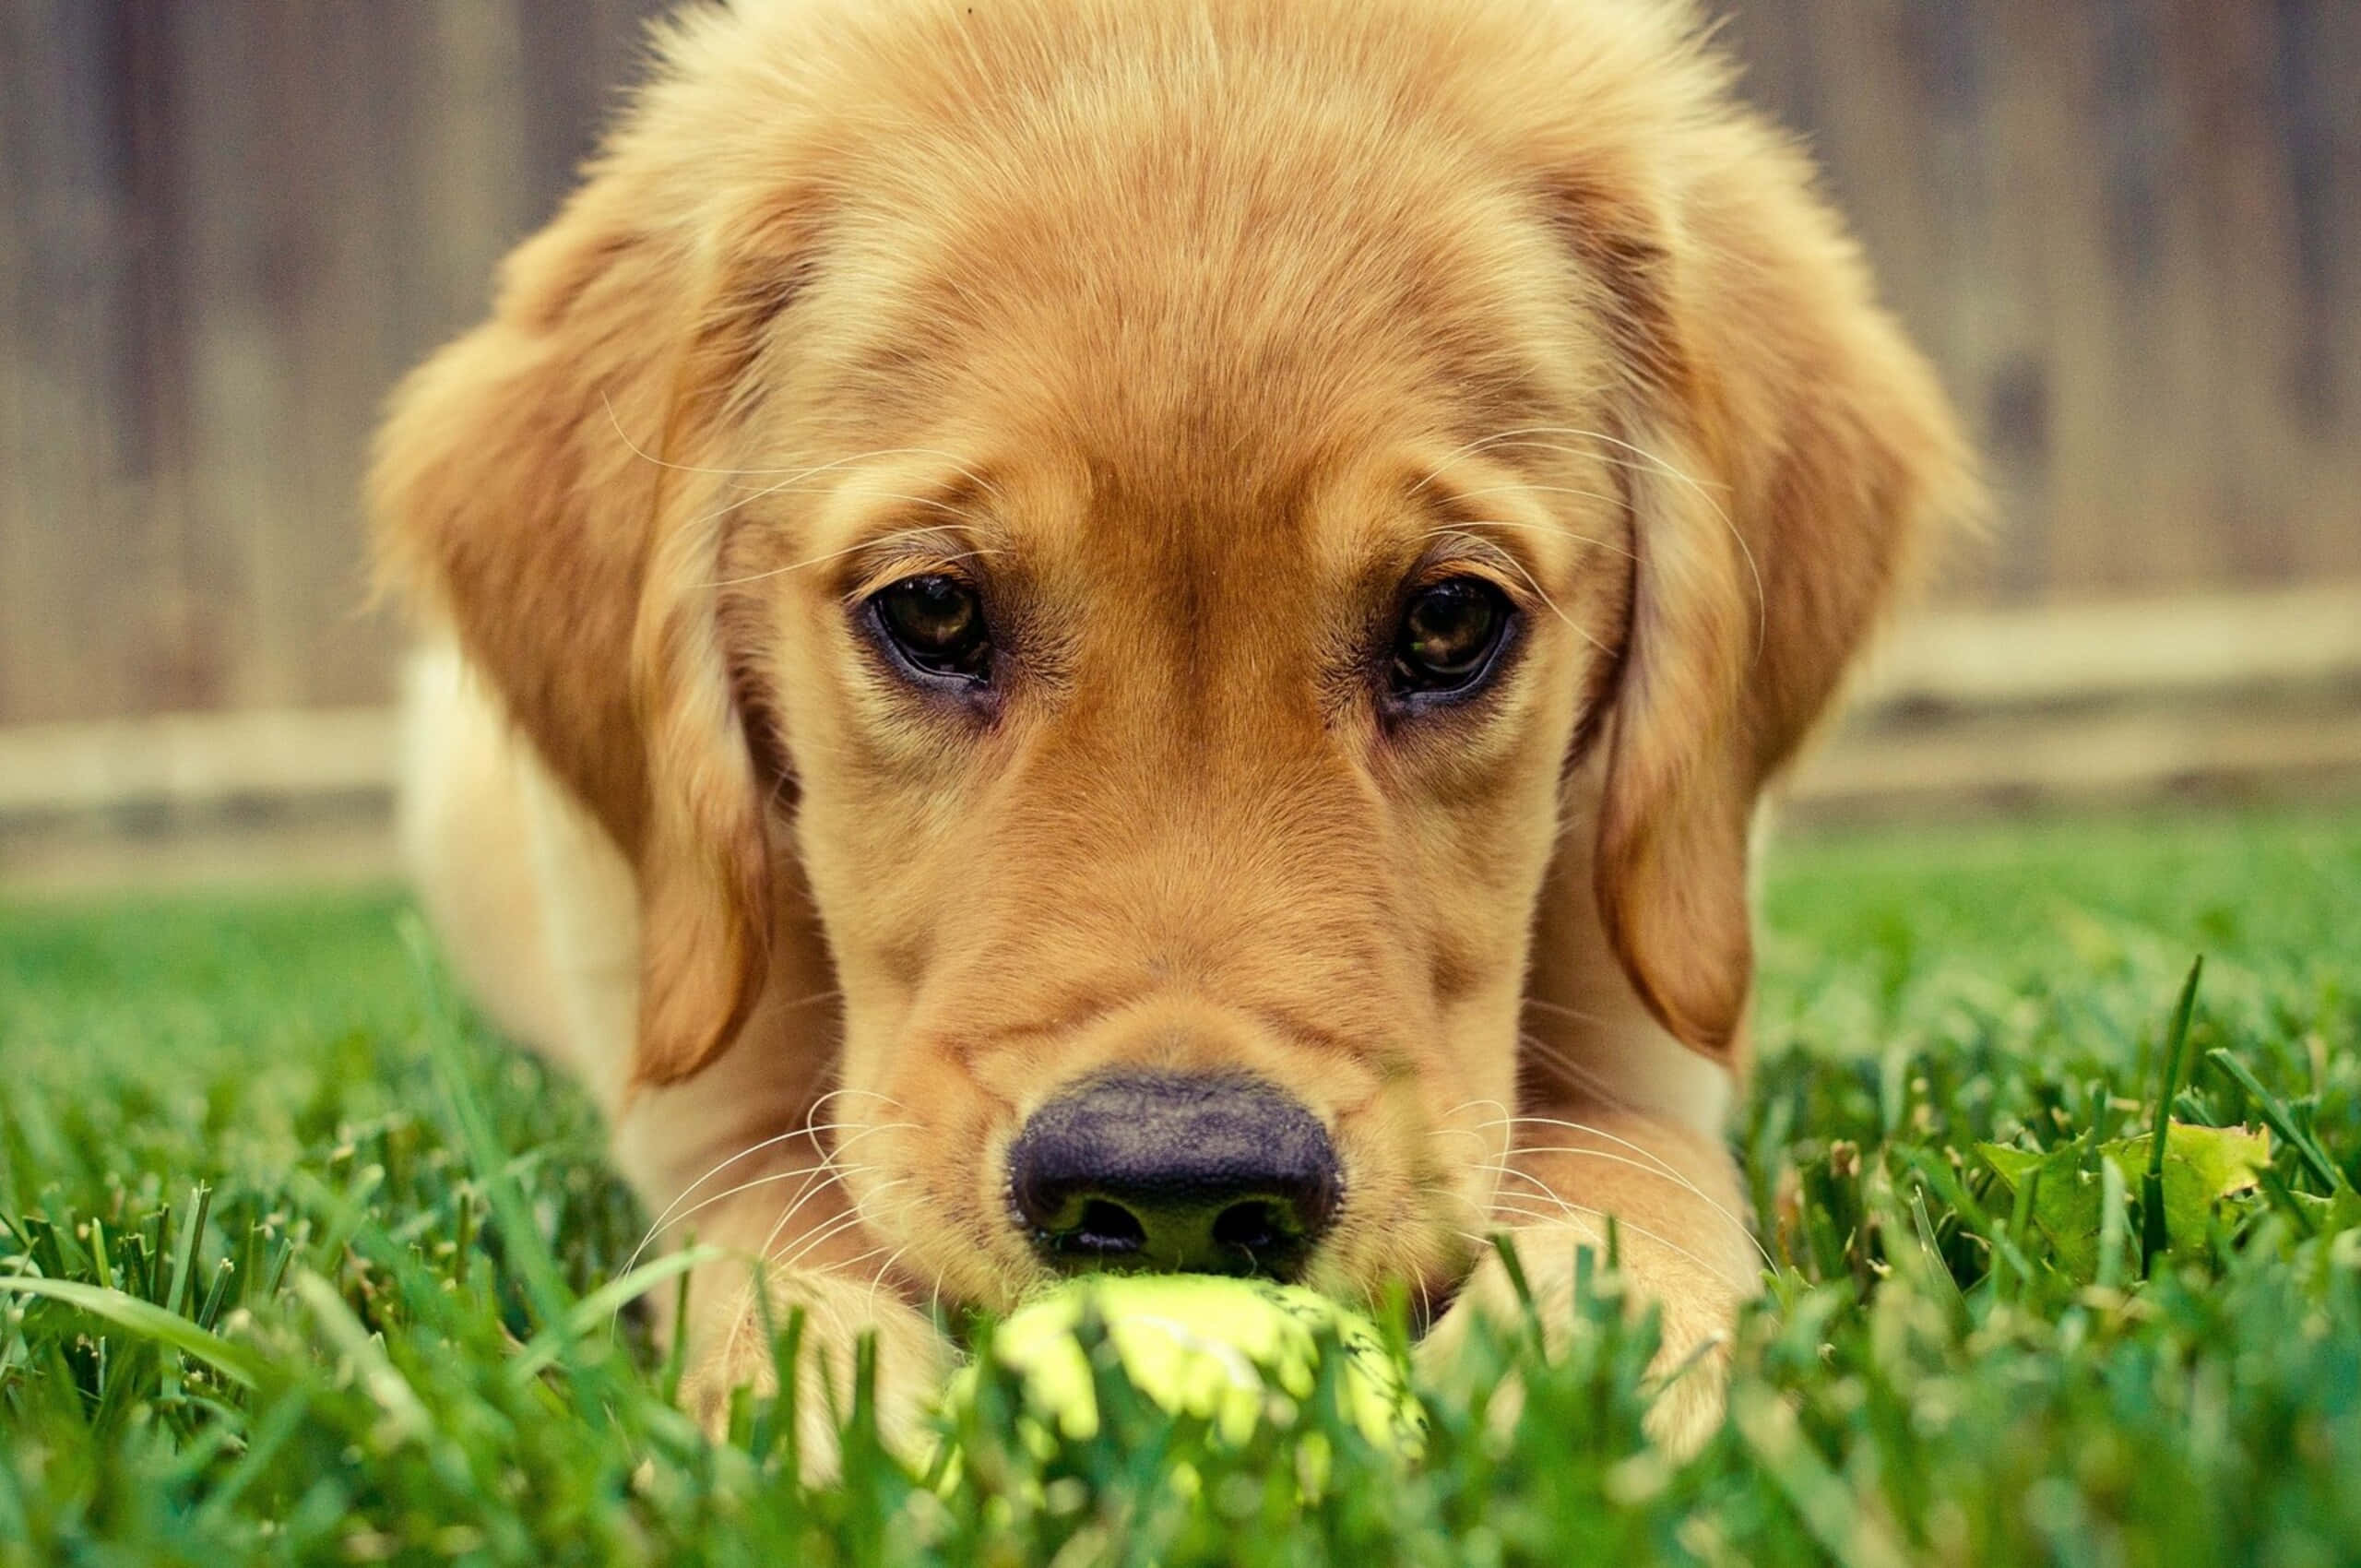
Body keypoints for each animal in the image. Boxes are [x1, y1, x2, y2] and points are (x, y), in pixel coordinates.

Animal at [382, 0, 1974, 1464]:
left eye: (1450, 620)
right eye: (934, 610)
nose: (1177, 1196)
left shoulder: (1655, 1006)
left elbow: (1642, 1168)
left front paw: (1585, 1369)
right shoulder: (700, 1081)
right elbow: (767, 1217)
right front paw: (826, 1399)